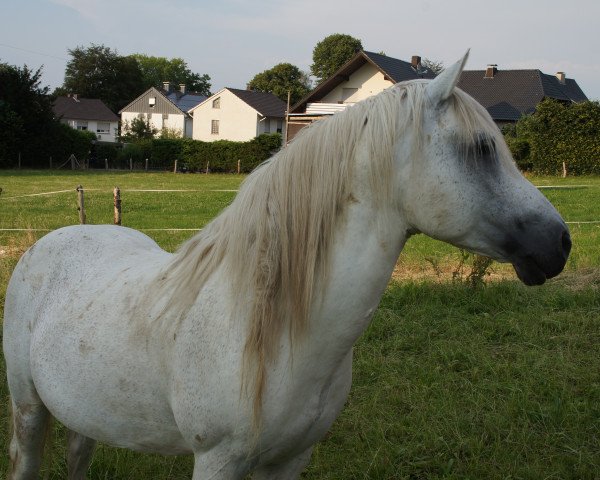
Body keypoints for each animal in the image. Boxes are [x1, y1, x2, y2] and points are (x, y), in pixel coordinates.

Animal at [3, 53, 572, 480]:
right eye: (482, 148)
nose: (560, 243)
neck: (271, 327)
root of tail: (53, 239)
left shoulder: (291, 460)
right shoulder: (217, 461)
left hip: (84, 411)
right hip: (30, 410)